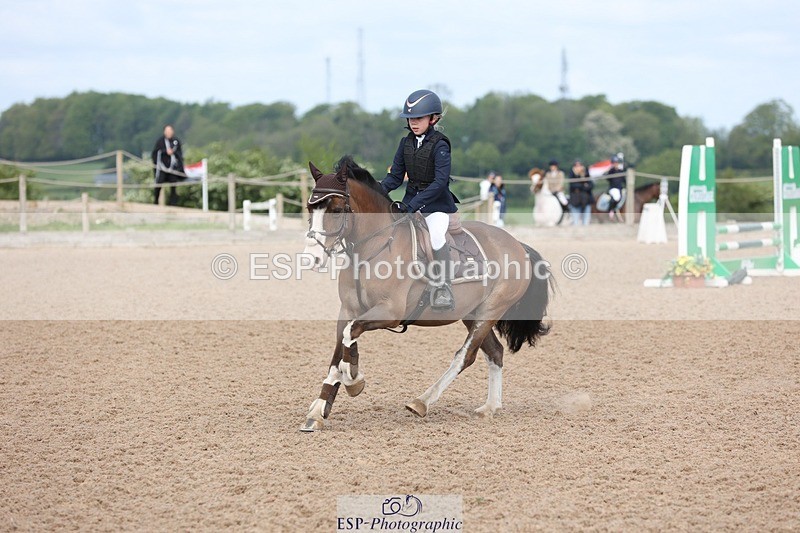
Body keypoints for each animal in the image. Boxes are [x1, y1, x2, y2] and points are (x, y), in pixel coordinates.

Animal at [300, 156, 553, 432]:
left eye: (336, 210)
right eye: (310, 208)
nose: (311, 258)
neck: (372, 248)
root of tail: (518, 245)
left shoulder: (389, 312)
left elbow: (349, 337)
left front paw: (354, 380)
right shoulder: (346, 311)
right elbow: (338, 352)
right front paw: (318, 411)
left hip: (490, 311)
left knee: (465, 356)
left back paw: (422, 402)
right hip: (472, 314)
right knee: (495, 352)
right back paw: (490, 408)